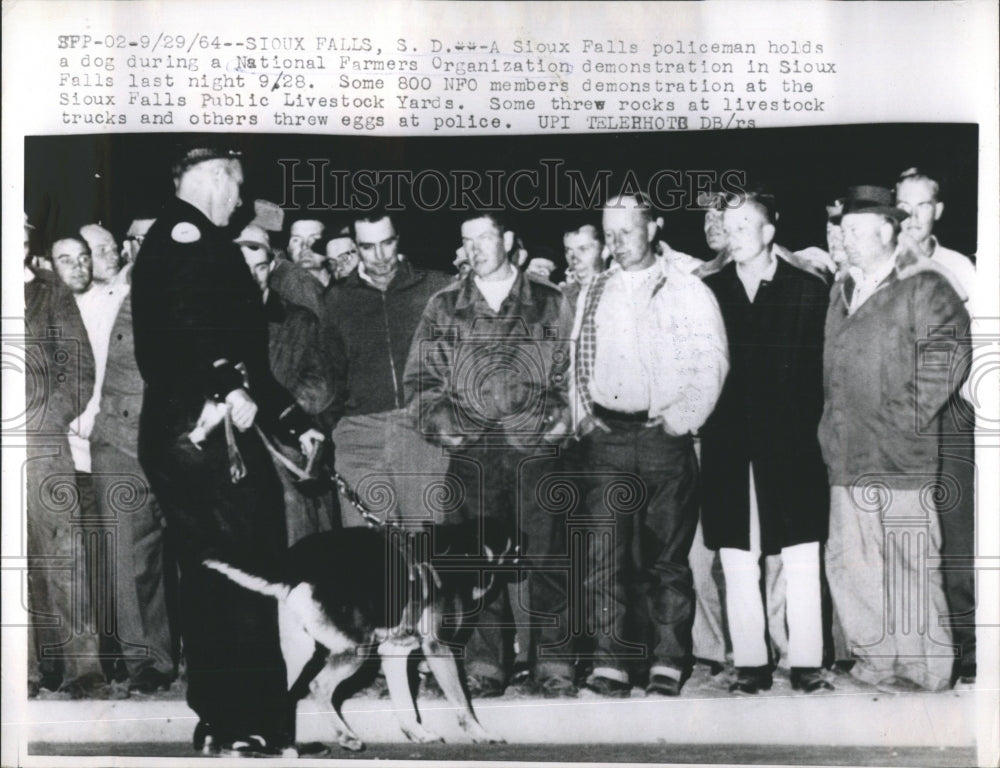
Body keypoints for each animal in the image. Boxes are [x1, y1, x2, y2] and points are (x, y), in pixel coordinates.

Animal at [201, 520, 516, 752]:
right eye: (517, 545)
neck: (459, 550)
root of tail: (294, 562)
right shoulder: (438, 647)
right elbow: (462, 702)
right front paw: (482, 734)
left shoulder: (395, 651)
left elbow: (404, 701)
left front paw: (417, 733)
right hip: (356, 649)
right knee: (318, 686)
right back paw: (346, 737)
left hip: (298, 652)